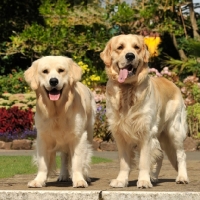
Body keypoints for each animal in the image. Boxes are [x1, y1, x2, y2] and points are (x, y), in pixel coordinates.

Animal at [24, 55, 96, 188]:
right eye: (45, 71)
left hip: (89, 132)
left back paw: (86, 176)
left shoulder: (78, 137)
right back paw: (63, 175)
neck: (57, 111)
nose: (53, 81)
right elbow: (43, 164)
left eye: (61, 70)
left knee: (85, 155)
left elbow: (78, 161)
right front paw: (39, 180)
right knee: (64, 157)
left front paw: (79, 180)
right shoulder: (43, 138)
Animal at [101, 34, 188, 189]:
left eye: (136, 47)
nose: (130, 56)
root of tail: (173, 84)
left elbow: (143, 161)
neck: (127, 89)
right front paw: (121, 180)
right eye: (120, 47)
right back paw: (154, 177)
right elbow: (124, 162)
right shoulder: (119, 133)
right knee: (160, 156)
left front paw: (143, 180)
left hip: (175, 130)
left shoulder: (146, 132)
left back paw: (182, 177)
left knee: (181, 155)